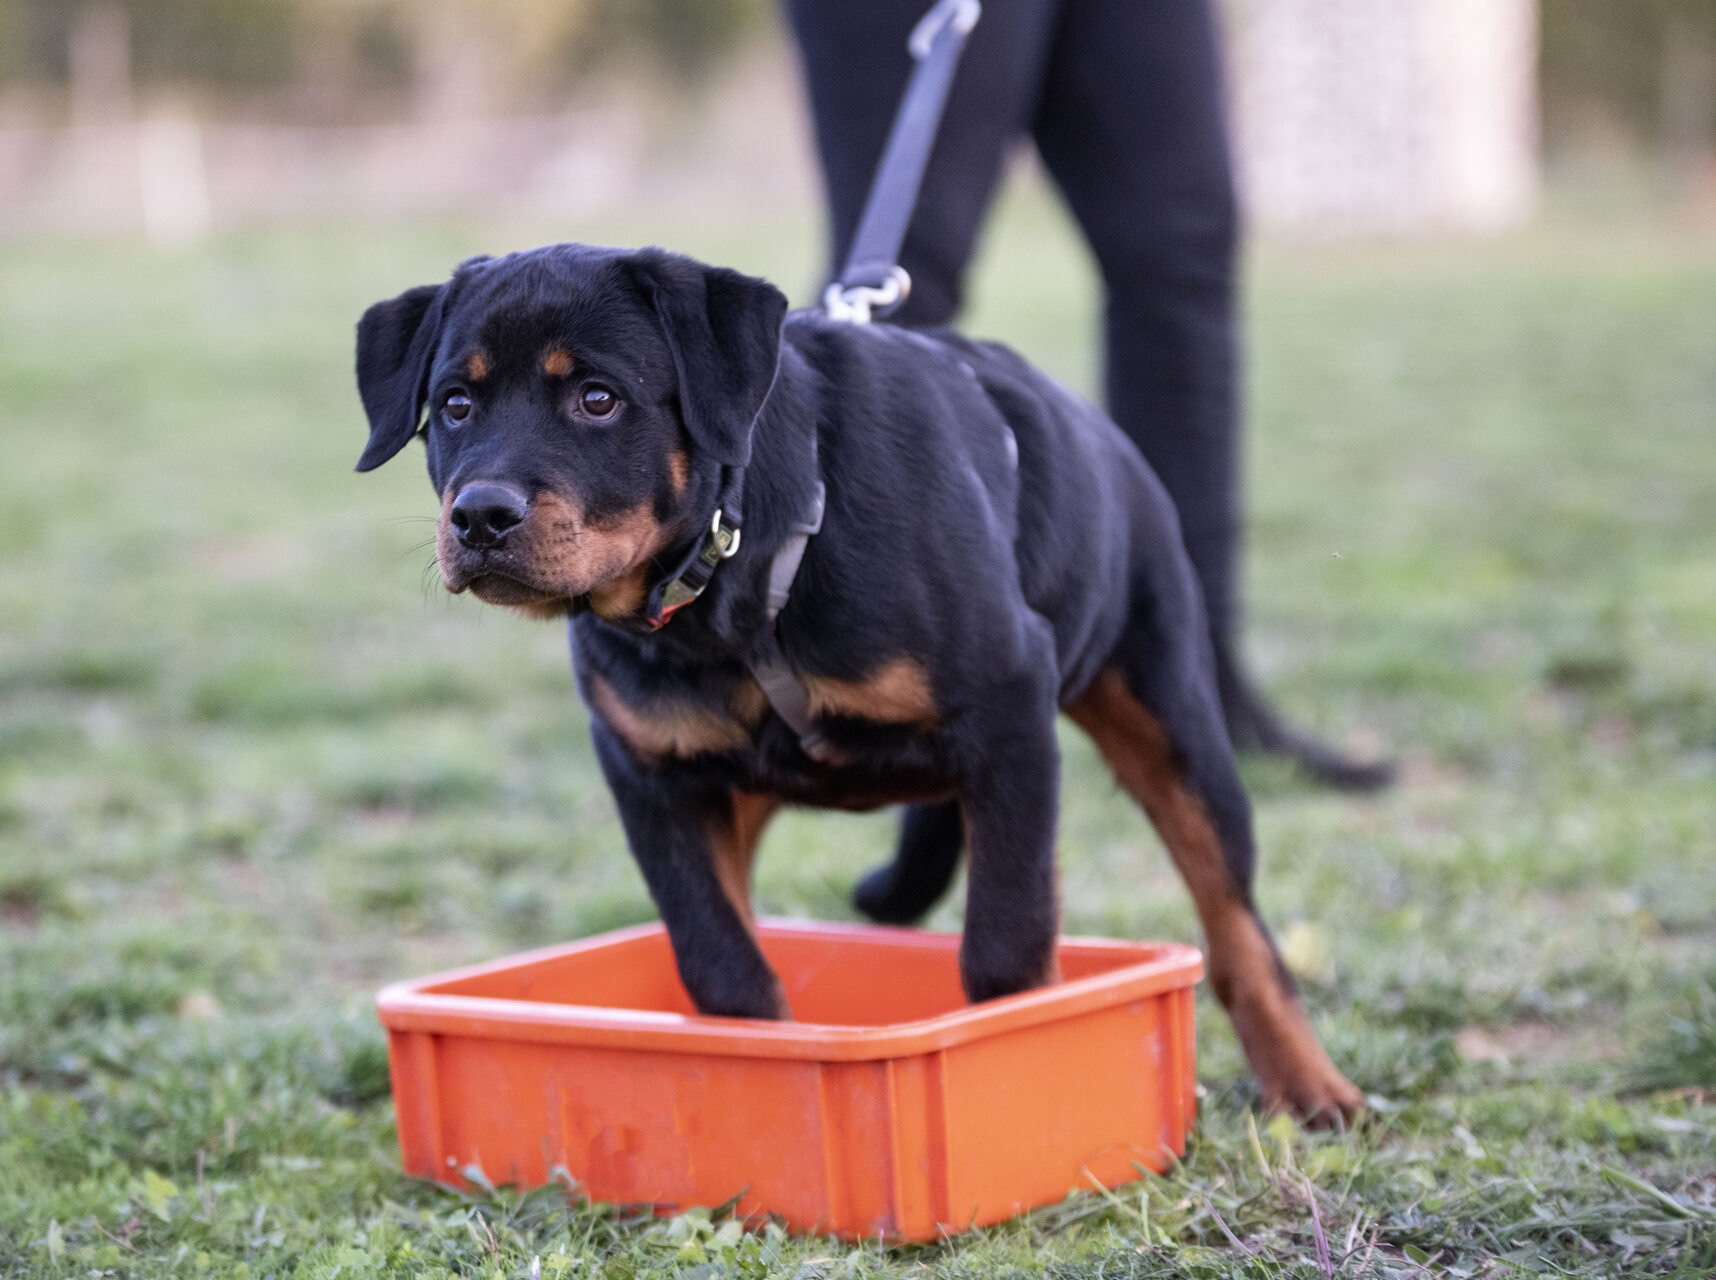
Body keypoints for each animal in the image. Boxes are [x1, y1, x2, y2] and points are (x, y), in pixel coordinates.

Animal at [351, 241, 1365, 1118]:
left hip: (1170, 713)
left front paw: (1012, 1064)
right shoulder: (651, 774)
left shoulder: (1010, 712)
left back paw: (1312, 1087)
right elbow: (722, 964)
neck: (735, 577)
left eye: (599, 399)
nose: (480, 515)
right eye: (454, 405)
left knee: (1235, 922)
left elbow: (1005, 949)